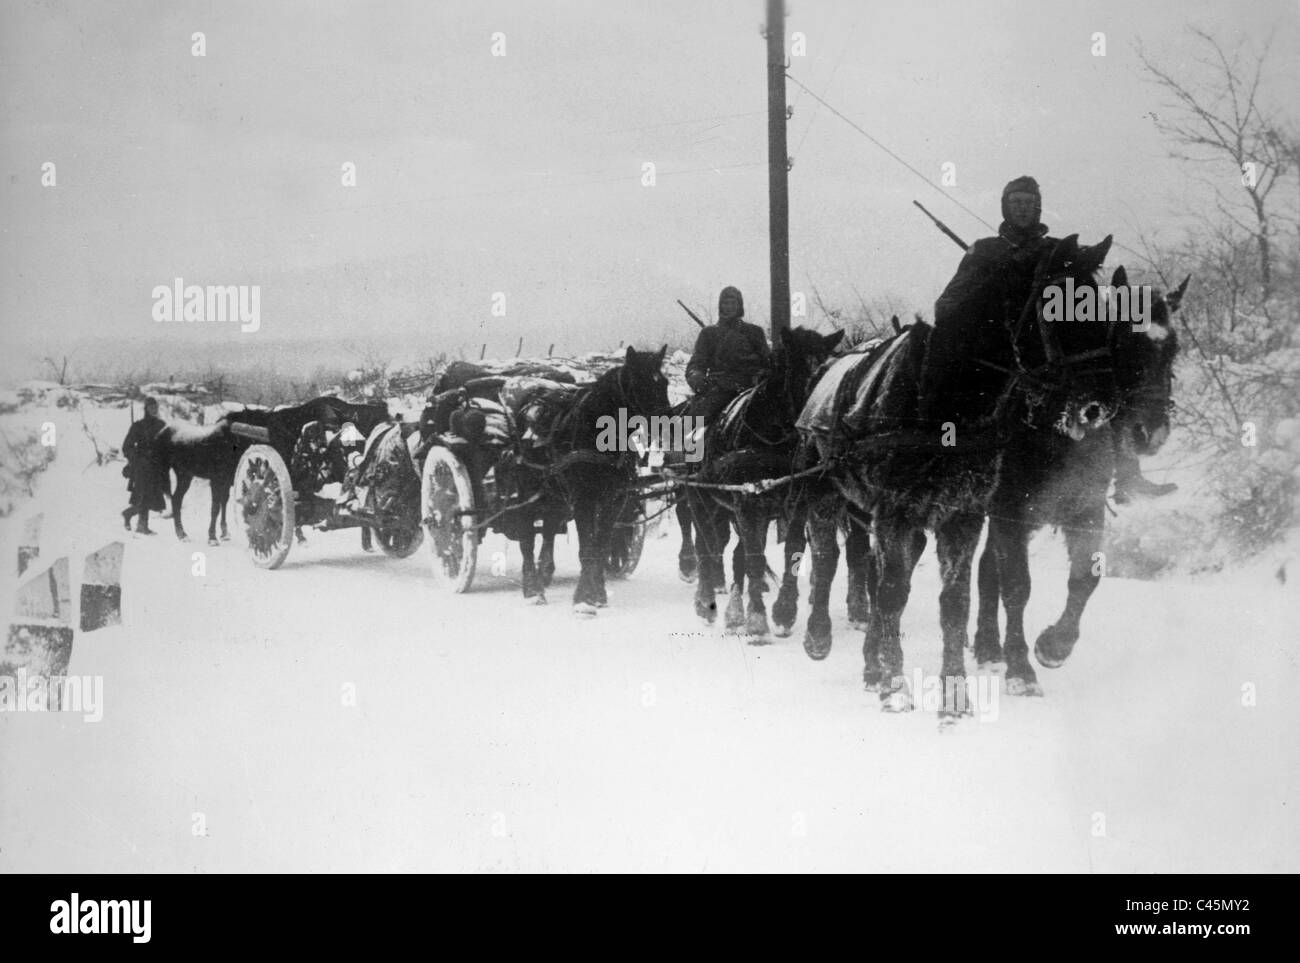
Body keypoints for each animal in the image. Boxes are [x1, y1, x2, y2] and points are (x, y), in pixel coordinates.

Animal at [155, 395, 387, 545]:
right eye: (326, 416)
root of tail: (164, 431)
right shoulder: (218, 479)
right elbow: (215, 507)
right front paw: (212, 537)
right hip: (184, 475)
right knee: (177, 499)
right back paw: (182, 533)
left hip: (188, 475)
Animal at [493, 345, 676, 613]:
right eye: (638, 383)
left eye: (663, 382)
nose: (669, 426)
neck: (597, 436)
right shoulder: (584, 500)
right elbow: (586, 549)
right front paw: (582, 599)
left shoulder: (614, 500)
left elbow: (599, 546)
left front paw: (597, 594)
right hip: (527, 491)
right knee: (527, 537)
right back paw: (532, 589)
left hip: (555, 495)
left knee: (549, 528)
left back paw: (544, 572)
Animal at [686, 328, 847, 639]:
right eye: (800, 370)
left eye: (827, 372)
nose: (819, 425)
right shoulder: (747, 500)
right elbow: (753, 556)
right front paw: (757, 619)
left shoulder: (795, 503)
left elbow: (791, 549)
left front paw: (784, 611)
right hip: (703, 501)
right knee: (707, 545)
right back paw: (706, 601)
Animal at [800, 235, 1118, 722]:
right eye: (1055, 304)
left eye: (1102, 305)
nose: (1099, 405)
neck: (941, 402)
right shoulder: (900, 513)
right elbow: (892, 594)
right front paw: (896, 687)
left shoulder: (962, 516)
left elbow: (955, 603)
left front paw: (954, 696)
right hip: (826, 497)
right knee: (827, 560)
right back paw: (818, 635)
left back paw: (872, 663)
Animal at [977, 270, 1190, 691]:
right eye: (1120, 341)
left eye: (1172, 348)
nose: (1151, 434)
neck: (1055, 429)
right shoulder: (1008, 515)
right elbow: (1017, 586)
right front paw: (1021, 669)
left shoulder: (1085, 510)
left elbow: (1084, 579)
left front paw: (1054, 646)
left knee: (986, 568)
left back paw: (988, 647)